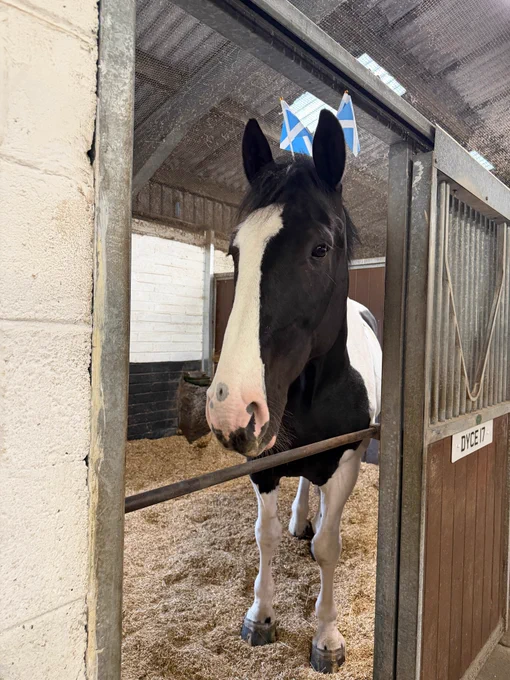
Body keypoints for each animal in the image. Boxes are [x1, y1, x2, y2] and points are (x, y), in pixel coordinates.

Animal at [205, 109, 382, 673]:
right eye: (236, 250)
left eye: (319, 248)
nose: (231, 410)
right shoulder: (263, 462)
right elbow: (262, 537)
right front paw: (260, 615)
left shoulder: (344, 458)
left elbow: (329, 547)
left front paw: (326, 638)